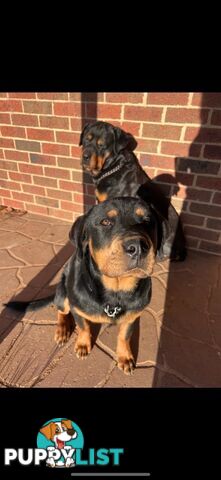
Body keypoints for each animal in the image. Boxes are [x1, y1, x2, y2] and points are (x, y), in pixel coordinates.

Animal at [5, 197, 161, 374]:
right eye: (105, 222)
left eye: (147, 220)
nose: (138, 248)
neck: (116, 291)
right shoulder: (77, 309)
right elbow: (83, 327)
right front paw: (82, 344)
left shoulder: (132, 315)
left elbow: (124, 335)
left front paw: (124, 357)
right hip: (62, 293)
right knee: (61, 310)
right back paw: (62, 330)